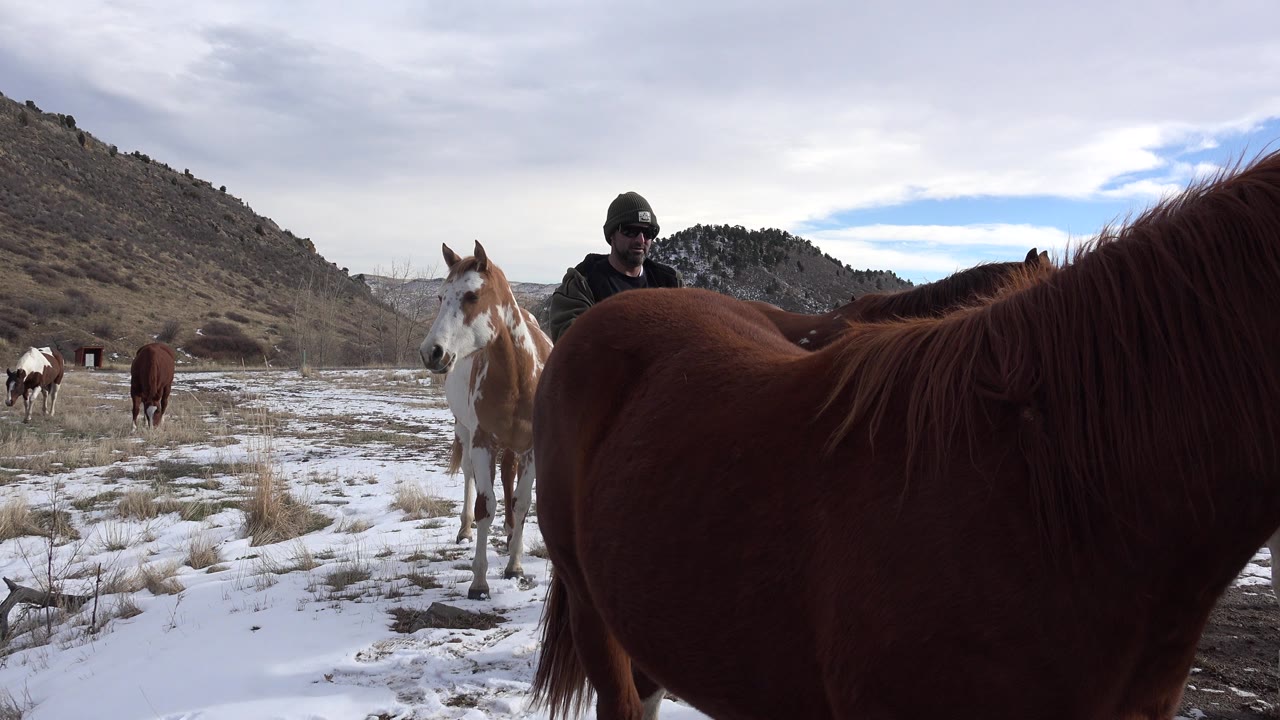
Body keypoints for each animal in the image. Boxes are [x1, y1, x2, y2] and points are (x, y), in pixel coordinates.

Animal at [419, 240, 553, 600]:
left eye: (471, 295)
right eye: (440, 296)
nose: (431, 352)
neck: (519, 375)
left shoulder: (532, 449)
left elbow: (521, 503)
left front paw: (515, 565)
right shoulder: (482, 443)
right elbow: (485, 505)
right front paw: (479, 582)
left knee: (508, 479)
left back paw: (509, 535)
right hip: (464, 431)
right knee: (468, 476)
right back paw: (465, 530)